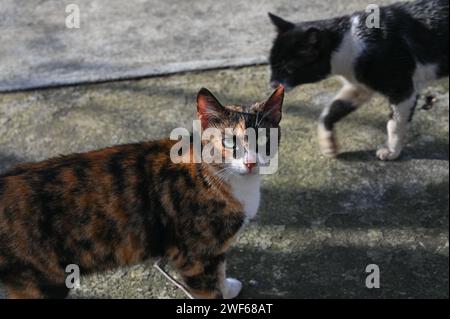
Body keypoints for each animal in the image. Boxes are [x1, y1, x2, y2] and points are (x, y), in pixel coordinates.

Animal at [0, 85, 284, 300]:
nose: (251, 162)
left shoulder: (213, 252)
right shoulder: (196, 257)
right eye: (228, 141)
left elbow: (221, 269)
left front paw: (227, 287)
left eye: (263, 139)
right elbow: (208, 288)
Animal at [268, 0, 448, 161]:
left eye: (288, 69)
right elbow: (331, 110)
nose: (272, 84)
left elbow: (394, 124)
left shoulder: (402, 90)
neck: (351, 43)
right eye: (271, 64)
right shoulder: (359, 86)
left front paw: (391, 152)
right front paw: (329, 145)